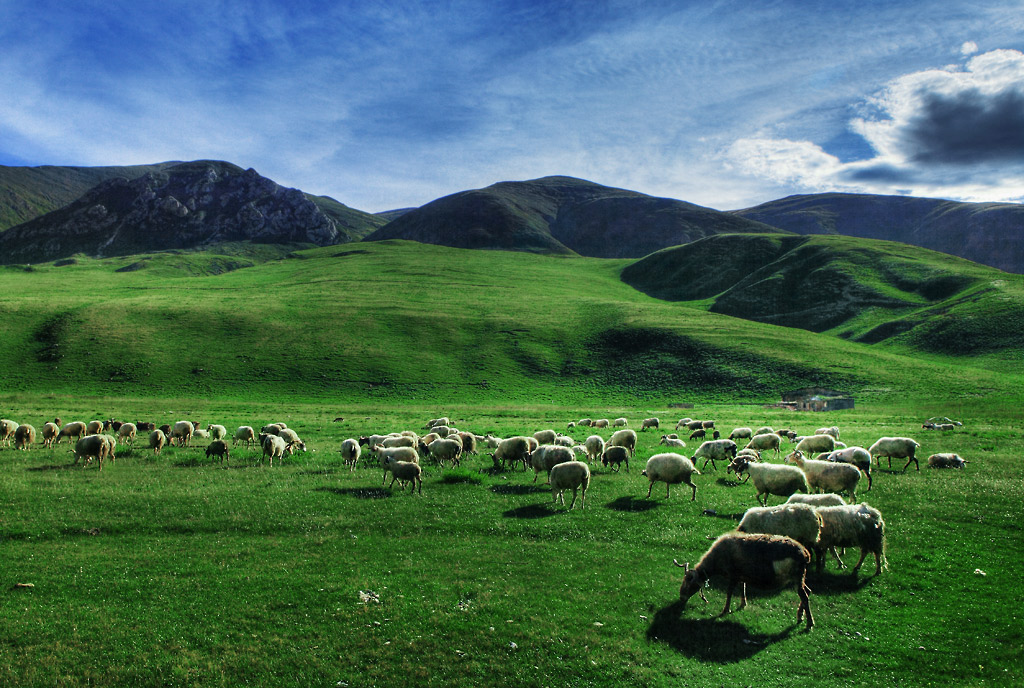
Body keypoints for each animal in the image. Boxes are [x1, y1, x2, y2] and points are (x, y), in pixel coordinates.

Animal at [671, 532, 815, 630]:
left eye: (689, 582)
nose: (681, 597)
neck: (716, 559)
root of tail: (805, 553)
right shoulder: (741, 575)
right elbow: (743, 587)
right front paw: (743, 603)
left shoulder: (733, 575)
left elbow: (729, 592)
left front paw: (725, 610)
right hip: (800, 577)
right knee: (807, 591)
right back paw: (800, 616)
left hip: (796, 576)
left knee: (804, 595)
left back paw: (809, 623)